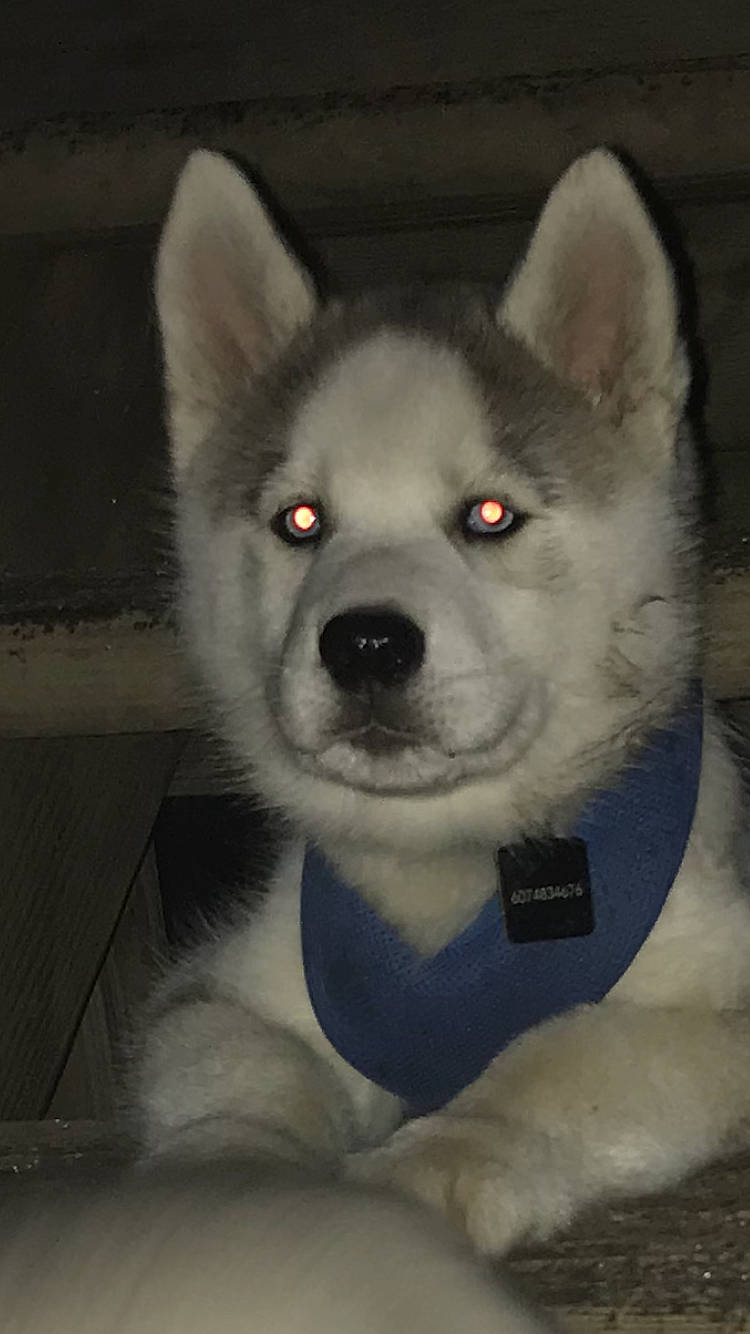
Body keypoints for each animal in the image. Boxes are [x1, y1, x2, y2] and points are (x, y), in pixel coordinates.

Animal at [135, 146, 750, 1267]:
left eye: (489, 515)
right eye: (301, 521)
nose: (366, 644)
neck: (446, 863)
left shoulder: (717, 994)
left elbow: (574, 1049)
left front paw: (443, 1153)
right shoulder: (217, 986)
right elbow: (235, 1057)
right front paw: (225, 1193)